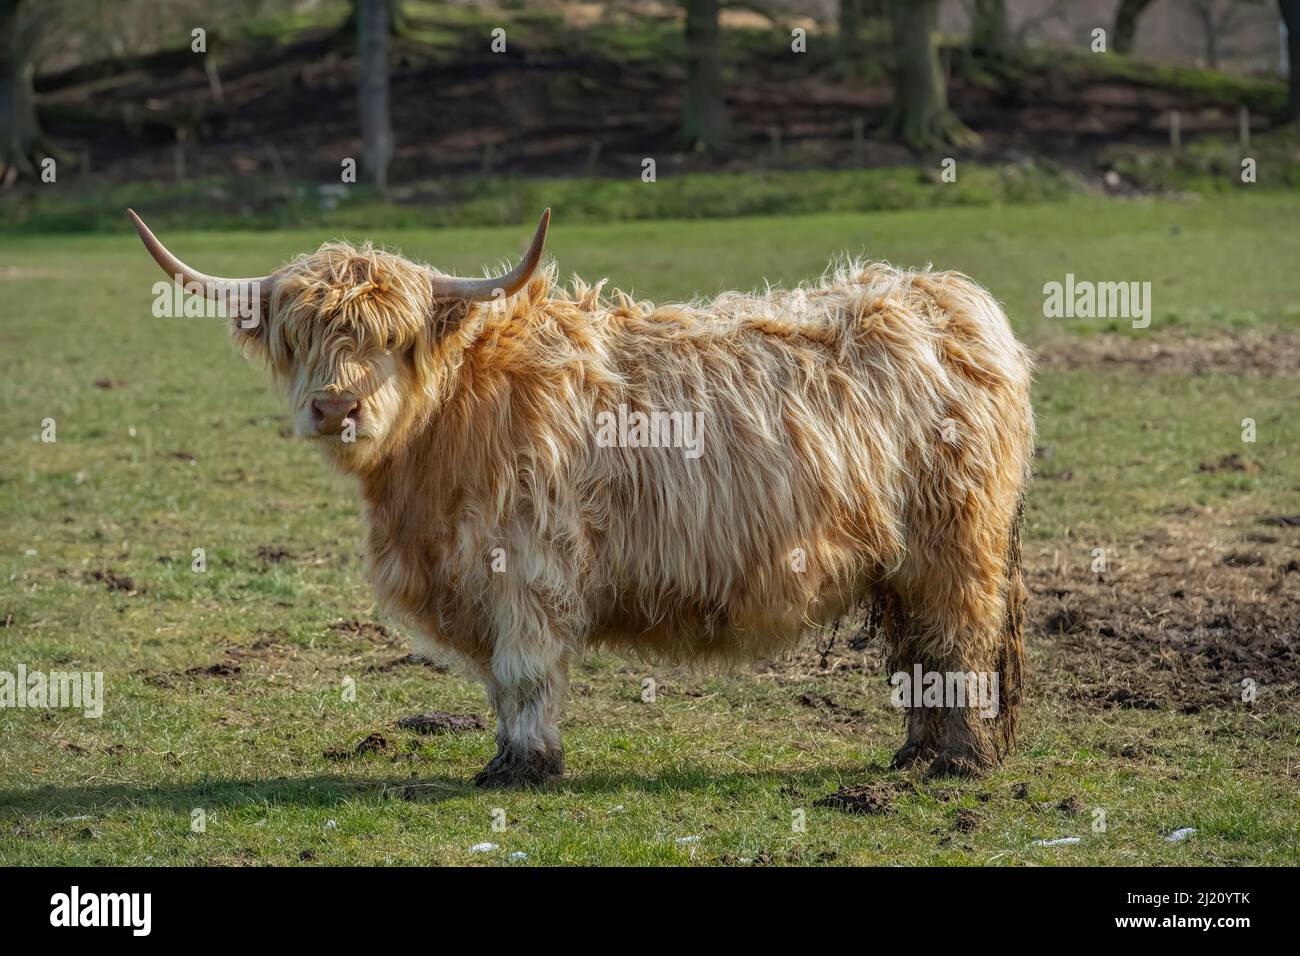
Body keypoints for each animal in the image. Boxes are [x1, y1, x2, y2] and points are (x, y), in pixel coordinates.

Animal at [129, 208, 1034, 787]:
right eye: (299, 336)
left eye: (394, 339)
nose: (334, 407)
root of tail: (948, 298)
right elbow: (500, 681)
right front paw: (508, 754)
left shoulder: (527, 568)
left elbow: (525, 672)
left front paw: (523, 768)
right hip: (905, 561)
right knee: (918, 647)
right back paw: (915, 753)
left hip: (957, 546)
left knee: (956, 640)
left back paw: (953, 763)